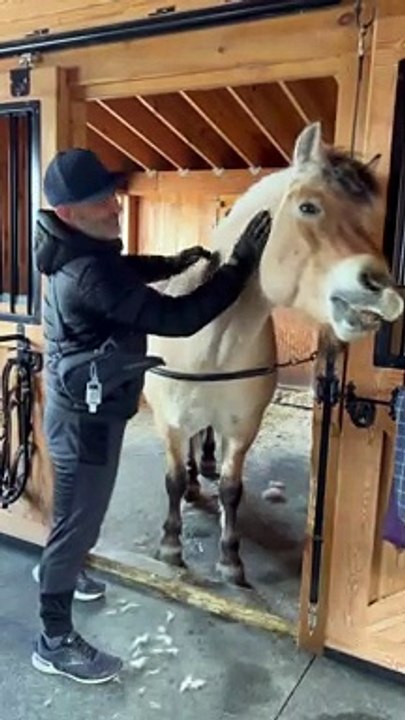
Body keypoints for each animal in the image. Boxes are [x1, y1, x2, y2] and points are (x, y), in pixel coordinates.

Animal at [143, 122, 404, 587]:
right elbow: (171, 480)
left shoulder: (242, 428)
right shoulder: (169, 423)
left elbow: (232, 490)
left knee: (205, 440)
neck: (211, 344)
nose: (382, 290)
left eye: (369, 221)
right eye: (308, 207)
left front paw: (231, 559)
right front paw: (171, 546)